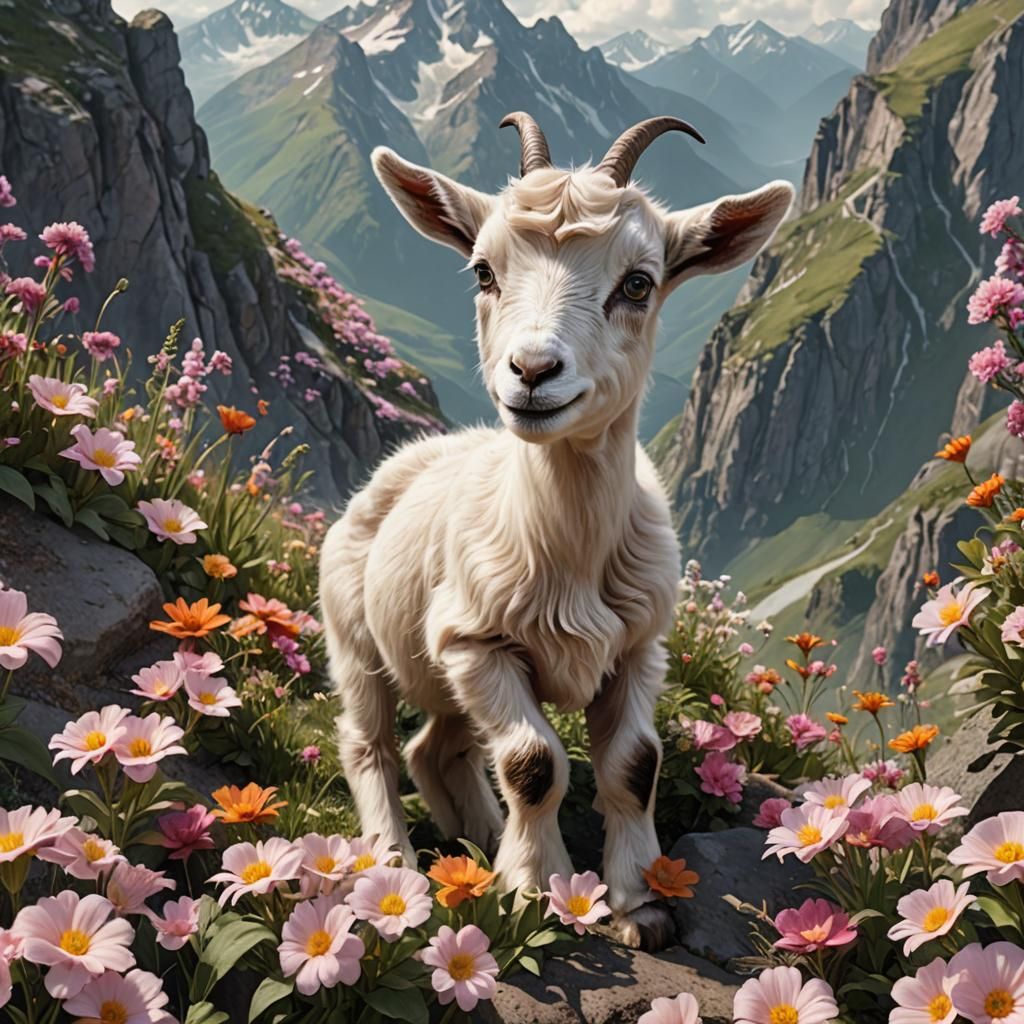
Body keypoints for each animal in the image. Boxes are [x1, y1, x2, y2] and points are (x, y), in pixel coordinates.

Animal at [319, 113, 793, 949]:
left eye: (638, 282)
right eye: (483, 272)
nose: (533, 371)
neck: (565, 550)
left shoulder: (639, 648)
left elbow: (635, 764)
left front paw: (637, 904)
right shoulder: (477, 643)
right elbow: (535, 763)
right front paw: (534, 888)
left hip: (436, 674)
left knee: (433, 745)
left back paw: (476, 841)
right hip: (356, 638)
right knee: (369, 741)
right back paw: (397, 861)